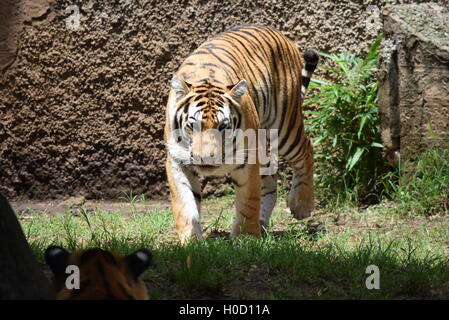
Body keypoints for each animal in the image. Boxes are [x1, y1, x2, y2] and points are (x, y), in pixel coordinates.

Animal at [164, 24, 318, 242]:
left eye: (223, 126)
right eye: (192, 126)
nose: (206, 159)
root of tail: (275, 31)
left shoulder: (248, 160)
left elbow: (248, 202)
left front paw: (246, 238)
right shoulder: (177, 160)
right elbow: (185, 204)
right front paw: (192, 241)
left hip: (284, 126)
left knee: (306, 150)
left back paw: (301, 206)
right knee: (271, 181)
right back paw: (263, 224)